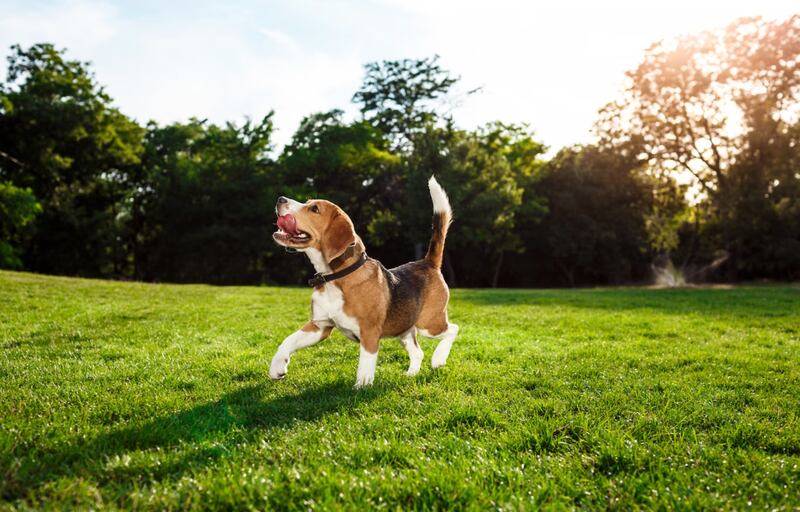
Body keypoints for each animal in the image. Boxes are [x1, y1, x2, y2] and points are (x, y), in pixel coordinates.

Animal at [268, 178, 456, 386]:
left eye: (314, 209)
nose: (280, 199)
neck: (335, 278)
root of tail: (427, 262)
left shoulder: (369, 332)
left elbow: (365, 364)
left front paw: (362, 387)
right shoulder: (320, 326)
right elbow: (288, 340)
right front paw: (277, 367)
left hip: (429, 324)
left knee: (453, 330)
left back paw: (439, 358)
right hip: (404, 329)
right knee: (418, 352)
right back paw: (411, 374)